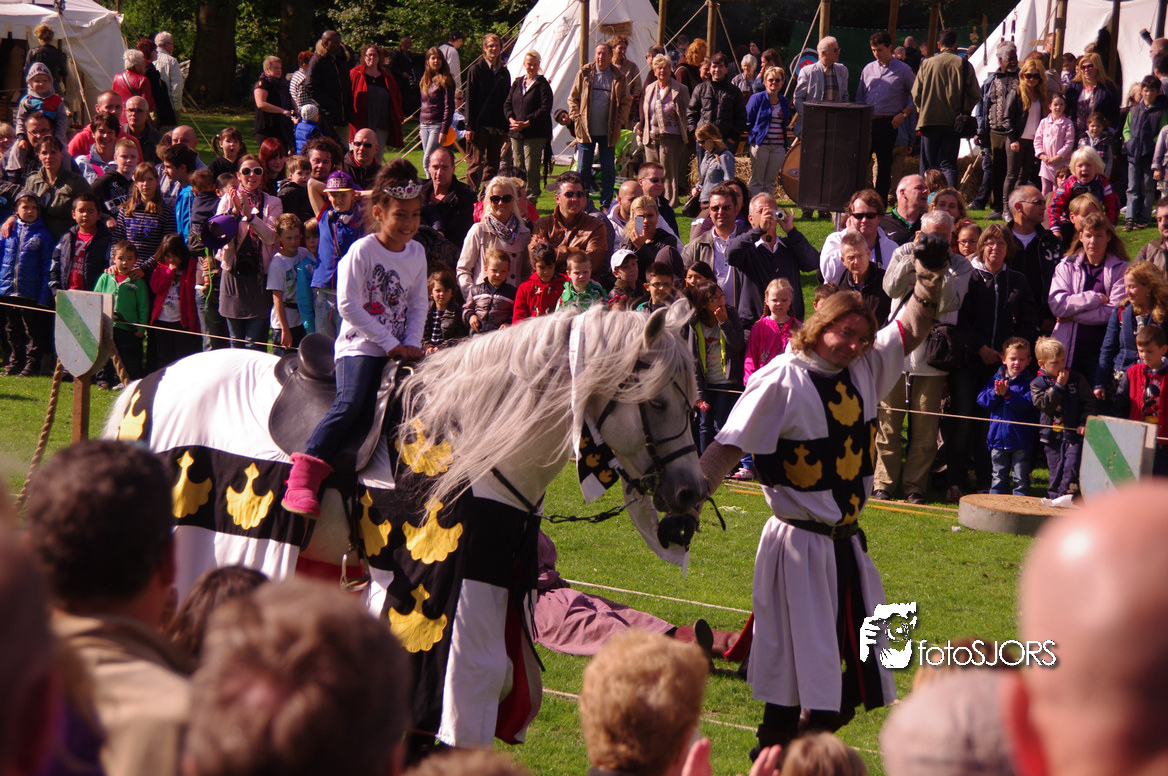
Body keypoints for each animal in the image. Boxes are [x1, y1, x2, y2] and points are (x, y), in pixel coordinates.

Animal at [103, 305, 707, 749]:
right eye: (656, 402)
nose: (689, 493)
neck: (477, 444)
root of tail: (148, 382)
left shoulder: (496, 592)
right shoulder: (435, 600)